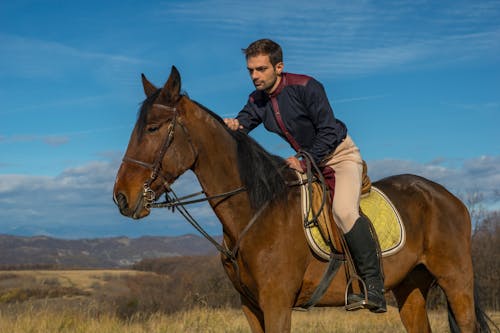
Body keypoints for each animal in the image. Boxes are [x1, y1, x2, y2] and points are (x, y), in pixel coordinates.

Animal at [113, 66, 492, 330]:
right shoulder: (251, 307)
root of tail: (447, 197)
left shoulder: (277, 303)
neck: (256, 212)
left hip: (456, 281)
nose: (121, 197)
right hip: (410, 287)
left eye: (153, 128)